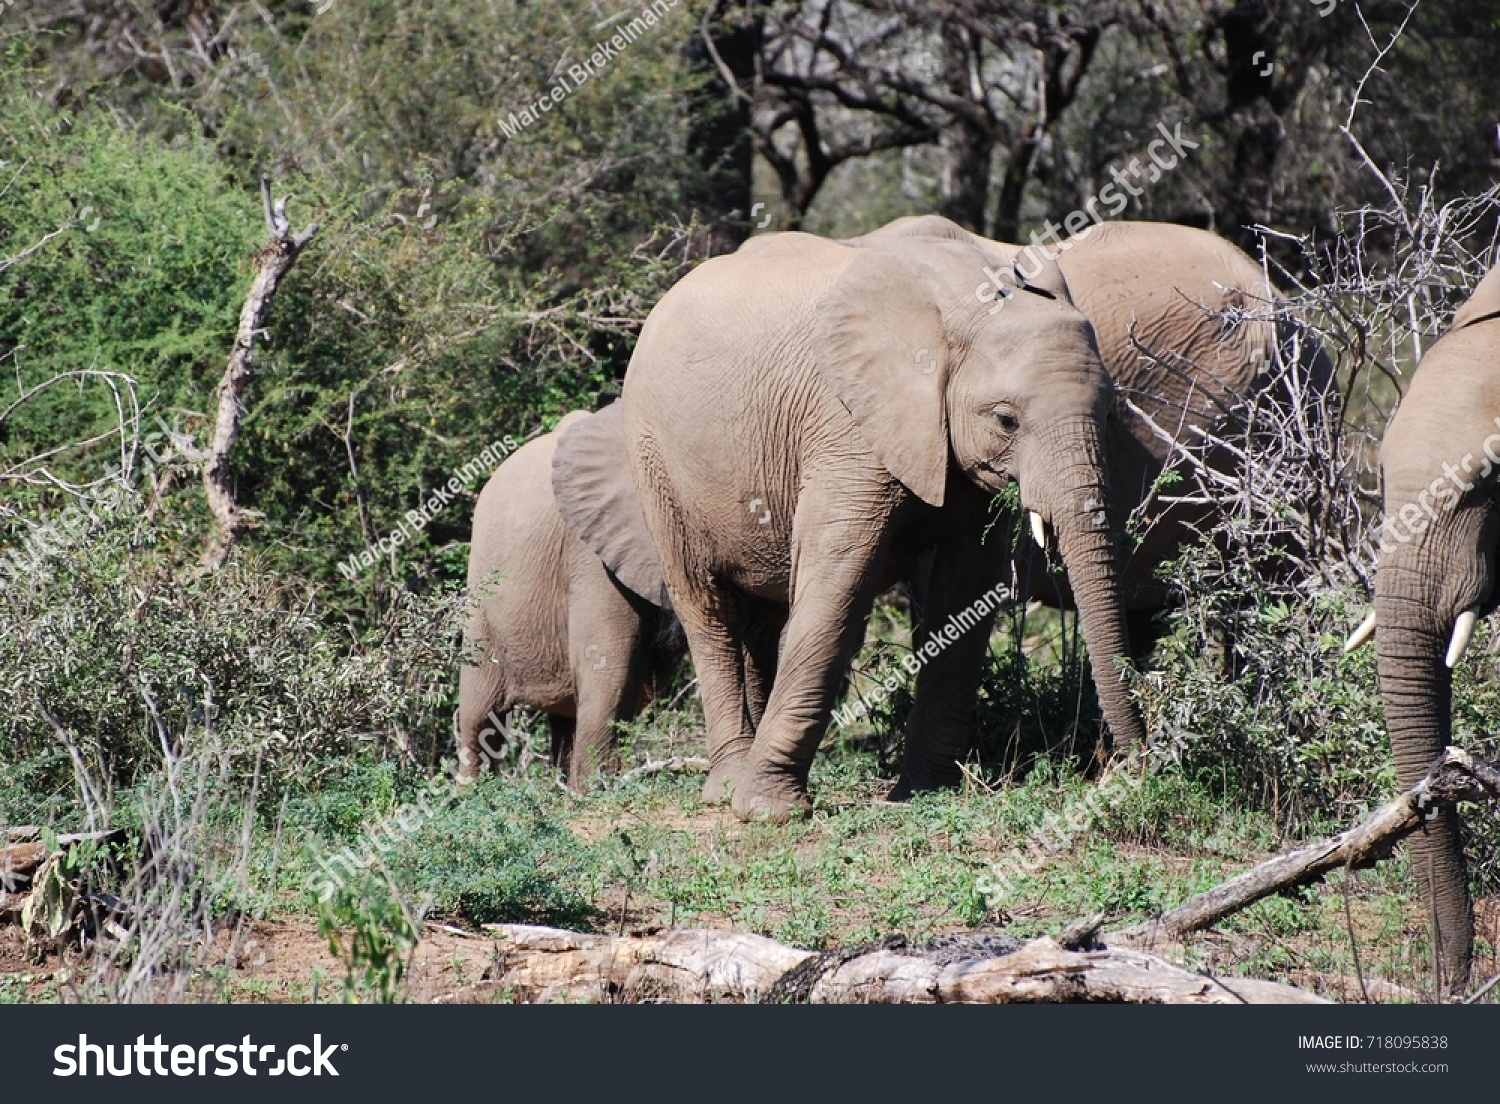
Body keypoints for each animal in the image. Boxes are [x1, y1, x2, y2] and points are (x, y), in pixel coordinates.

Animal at [456, 402, 687, 786]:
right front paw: (597, 792)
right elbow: (608, 671)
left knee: (565, 718)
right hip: (482, 591)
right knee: (480, 717)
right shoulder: (592, 554)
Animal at [564, 228, 1146, 822]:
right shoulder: (847, 426)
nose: (1130, 768)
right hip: (655, 463)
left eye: (1107, 413)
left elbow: (967, 589)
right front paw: (768, 812)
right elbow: (839, 581)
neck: (967, 300)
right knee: (708, 609)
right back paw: (726, 787)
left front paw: (925, 792)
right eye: (1007, 420)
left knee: (761, 620)